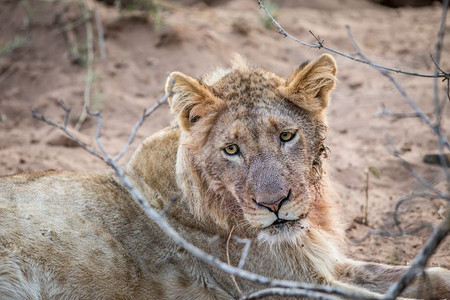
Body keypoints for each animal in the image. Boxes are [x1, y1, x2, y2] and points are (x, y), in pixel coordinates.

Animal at [0, 52, 450, 298]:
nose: (275, 205)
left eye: (286, 136)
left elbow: (428, 275)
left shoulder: (325, 265)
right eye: (231, 150)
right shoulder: (277, 286)